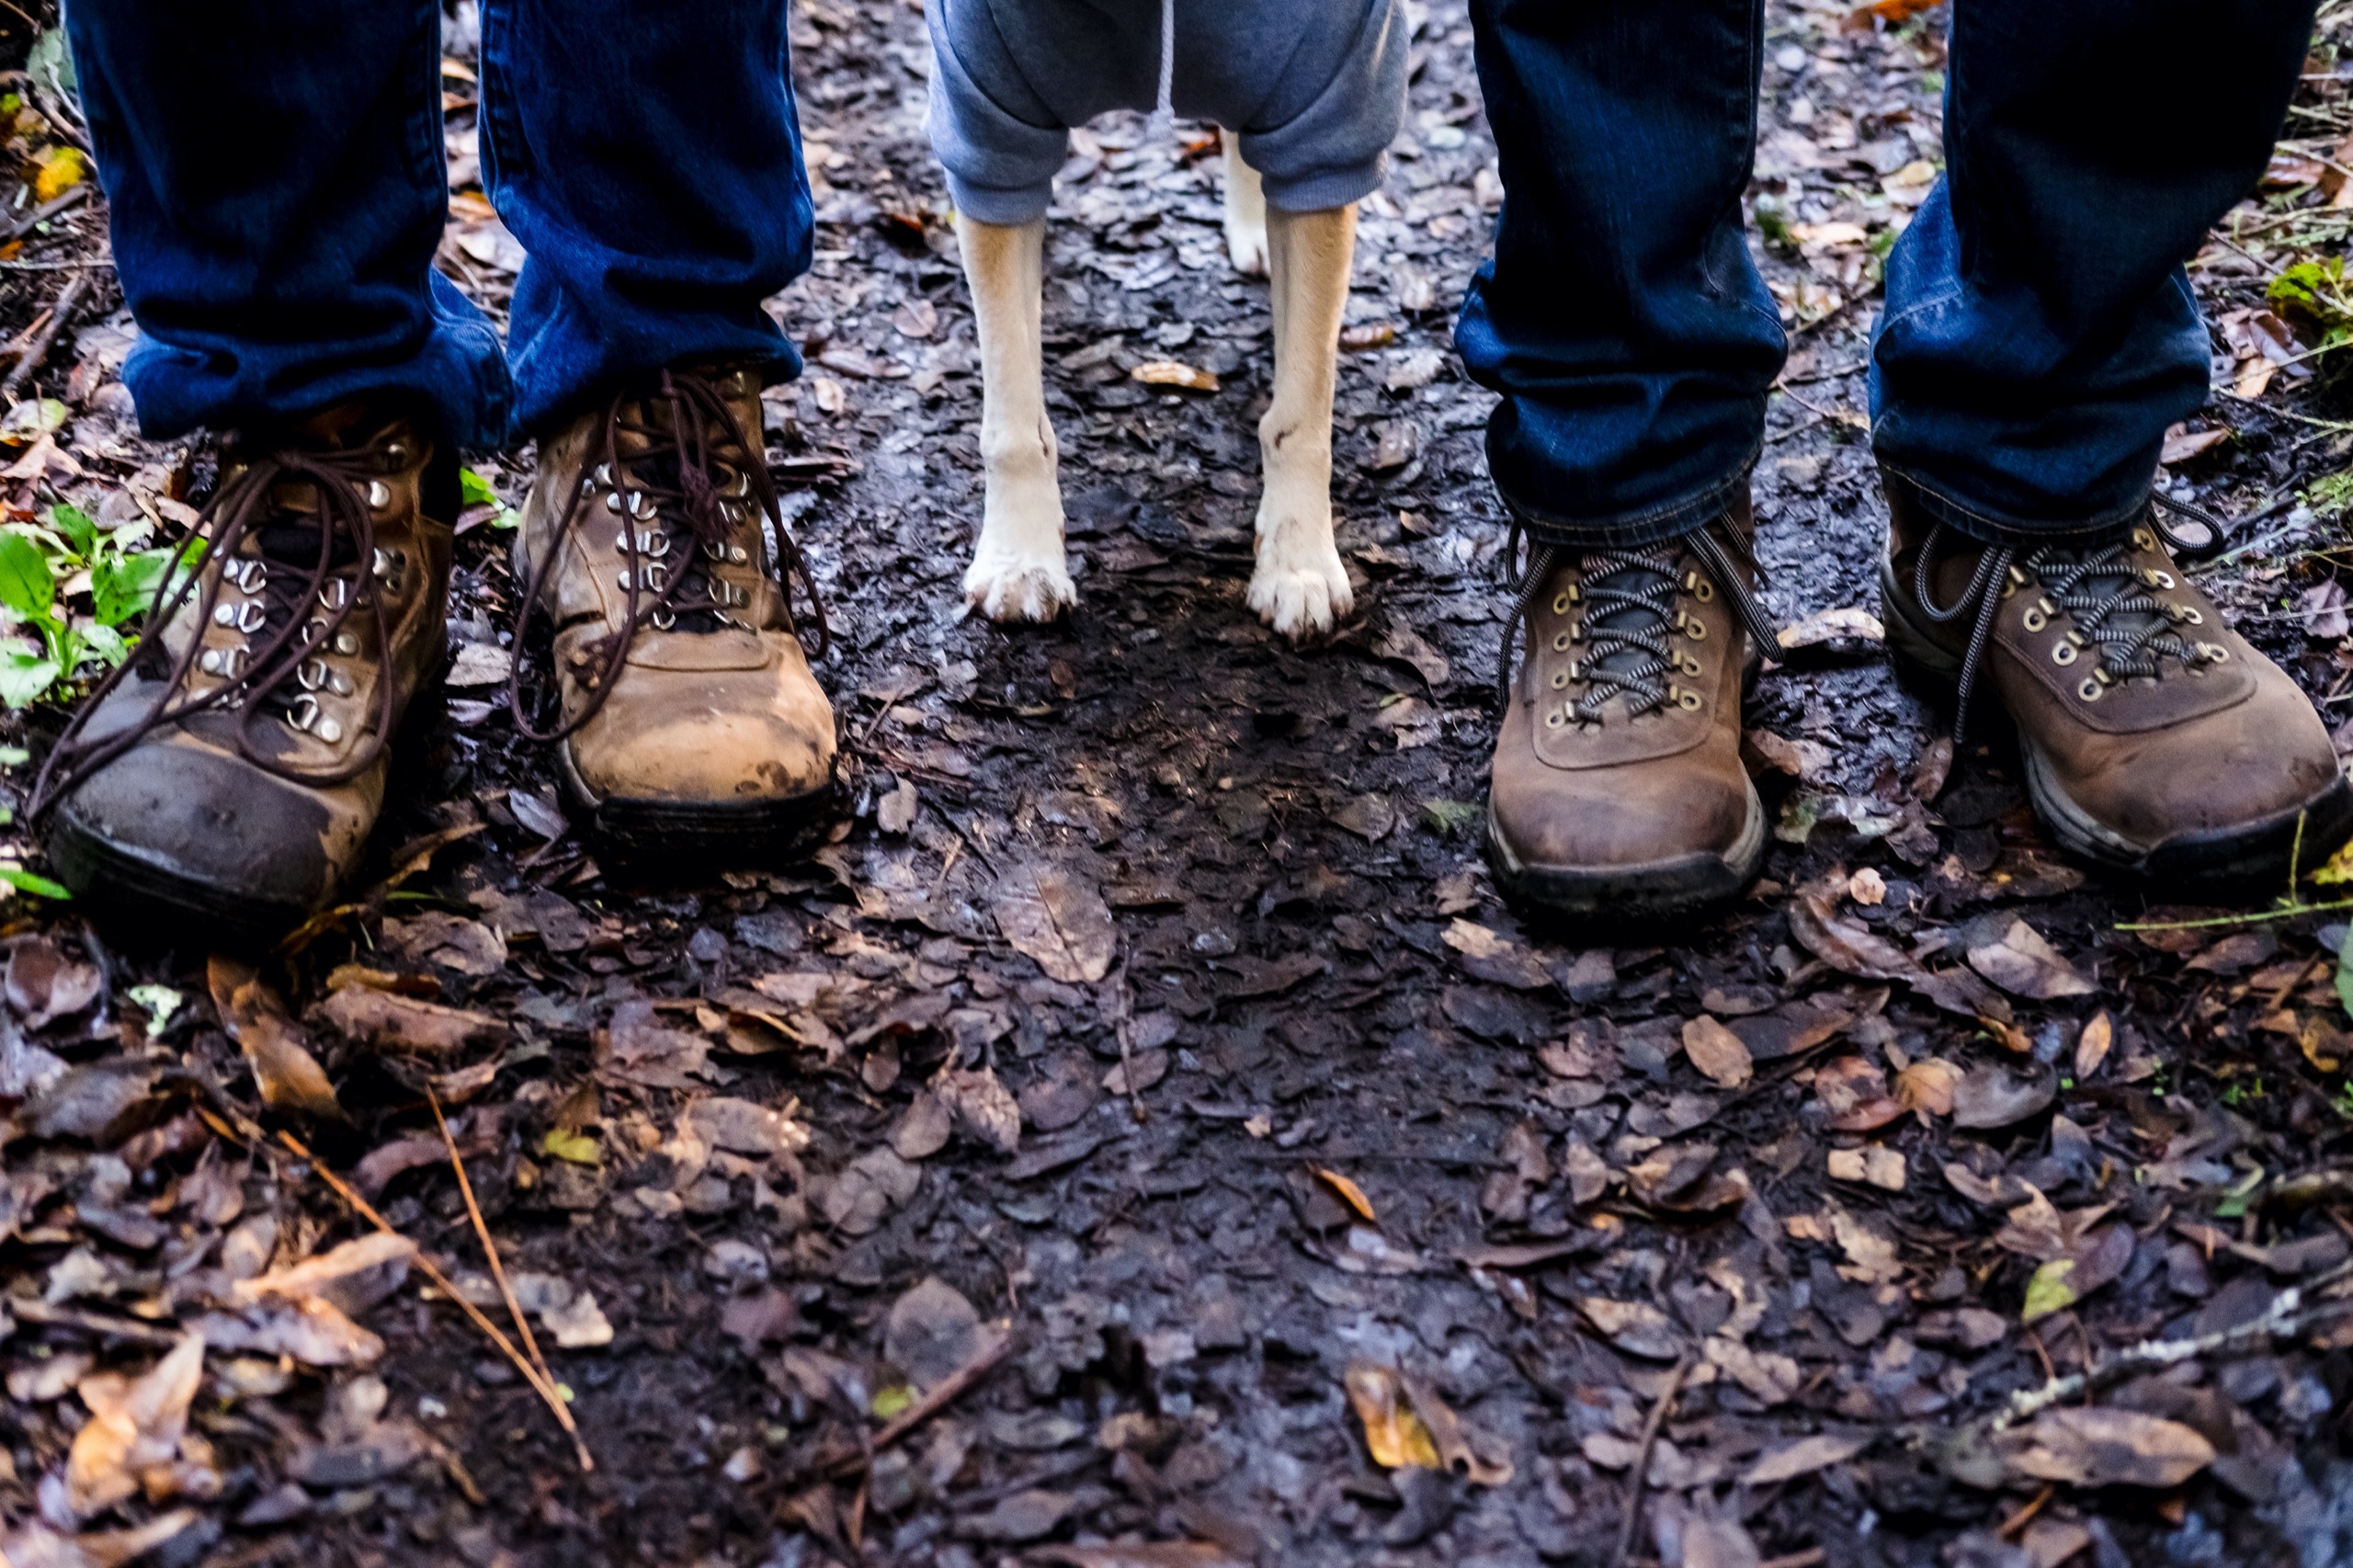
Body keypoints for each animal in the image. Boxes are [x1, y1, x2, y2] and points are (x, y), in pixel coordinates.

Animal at [923, 0, 1408, 639]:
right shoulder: (992, 126)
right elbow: (1014, 420)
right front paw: (1021, 560)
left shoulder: (1329, 117)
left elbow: (1300, 418)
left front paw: (1298, 565)